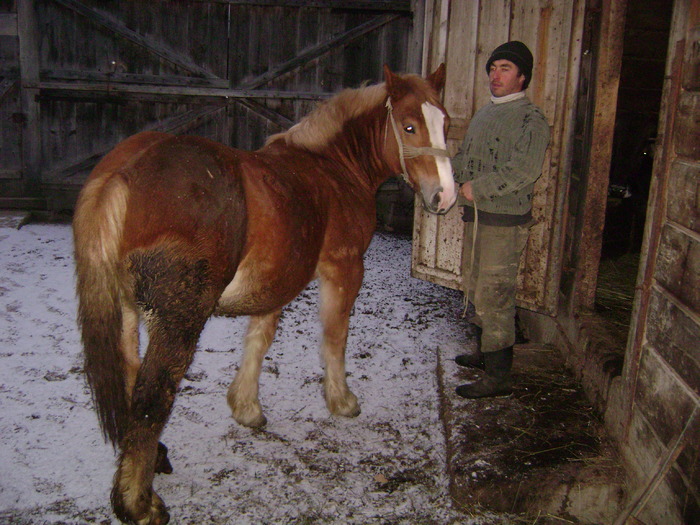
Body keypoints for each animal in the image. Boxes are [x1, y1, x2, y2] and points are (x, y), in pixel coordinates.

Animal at [71, 65, 454, 524]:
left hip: (127, 310)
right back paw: (138, 503)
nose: (445, 196)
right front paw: (341, 401)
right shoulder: (344, 267)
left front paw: (246, 407)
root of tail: (123, 172)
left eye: (446, 123)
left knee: (131, 378)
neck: (332, 168)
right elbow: (334, 337)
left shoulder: (276, 280)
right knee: (152, 397)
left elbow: (260, 337)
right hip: (179, 319)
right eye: (409, 126)